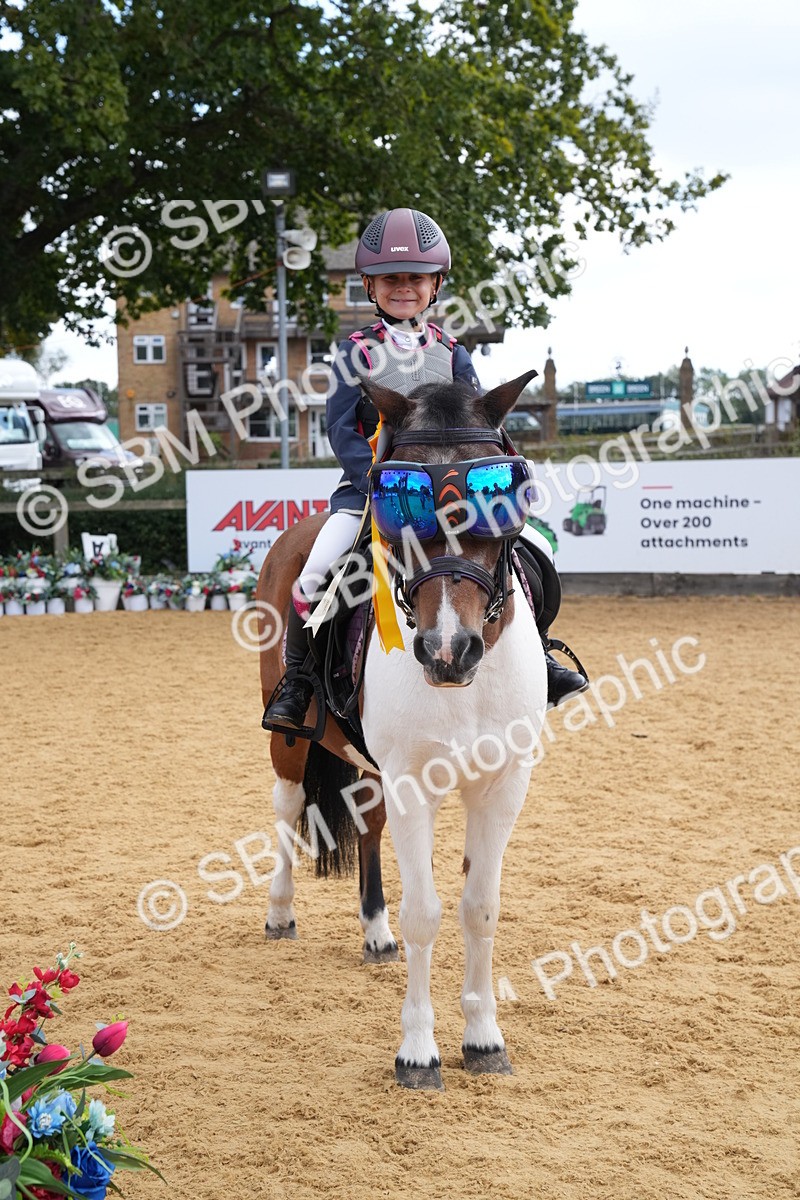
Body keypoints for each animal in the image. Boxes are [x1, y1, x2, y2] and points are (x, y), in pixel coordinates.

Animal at [257, 369, 547, 1091]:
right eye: (399, 500)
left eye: (496, 496)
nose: (449, 651)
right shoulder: (414, 780)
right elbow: (427, 914)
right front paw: (418, 1051)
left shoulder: (503, 785)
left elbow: (480, 907)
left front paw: (484, 1039)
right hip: (288, 743)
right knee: (286, 807)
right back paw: (280, 912)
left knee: (366, 822)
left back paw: (374, 932)